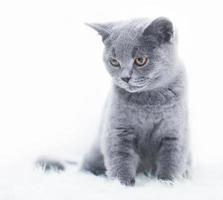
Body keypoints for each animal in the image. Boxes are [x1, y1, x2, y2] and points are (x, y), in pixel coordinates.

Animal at [36, 16, 190, 186]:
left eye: (140, 60)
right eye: (114, 62)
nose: (125, 78)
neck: (147, 101)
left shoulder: (174, 133)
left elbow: (171, 161)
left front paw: (166, 183)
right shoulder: (118, 130)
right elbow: (120, 158)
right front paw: (122, 184)